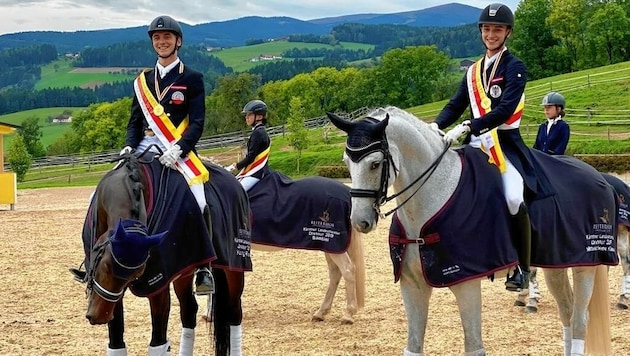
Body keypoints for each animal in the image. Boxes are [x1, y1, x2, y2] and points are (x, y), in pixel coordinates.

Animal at [74, 154, 252, 356]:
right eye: (104, 266)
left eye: (137, 273)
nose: (99, 315)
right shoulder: (113, 293)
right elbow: (116, 343)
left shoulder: (159, 284)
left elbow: (157, 344)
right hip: (185, 271)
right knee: (189, 311)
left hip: (235, 266)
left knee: (234, 311)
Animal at [328, 107, 620, 356]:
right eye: (346, 162)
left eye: (375, 163)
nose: (360, 221)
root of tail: (598, 176)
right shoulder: (413, 285)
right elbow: (413, 347)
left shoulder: (466, 283)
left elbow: (474, 347)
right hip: (556, 263)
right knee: (567, 310)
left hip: (586, 264)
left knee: (580, 319)